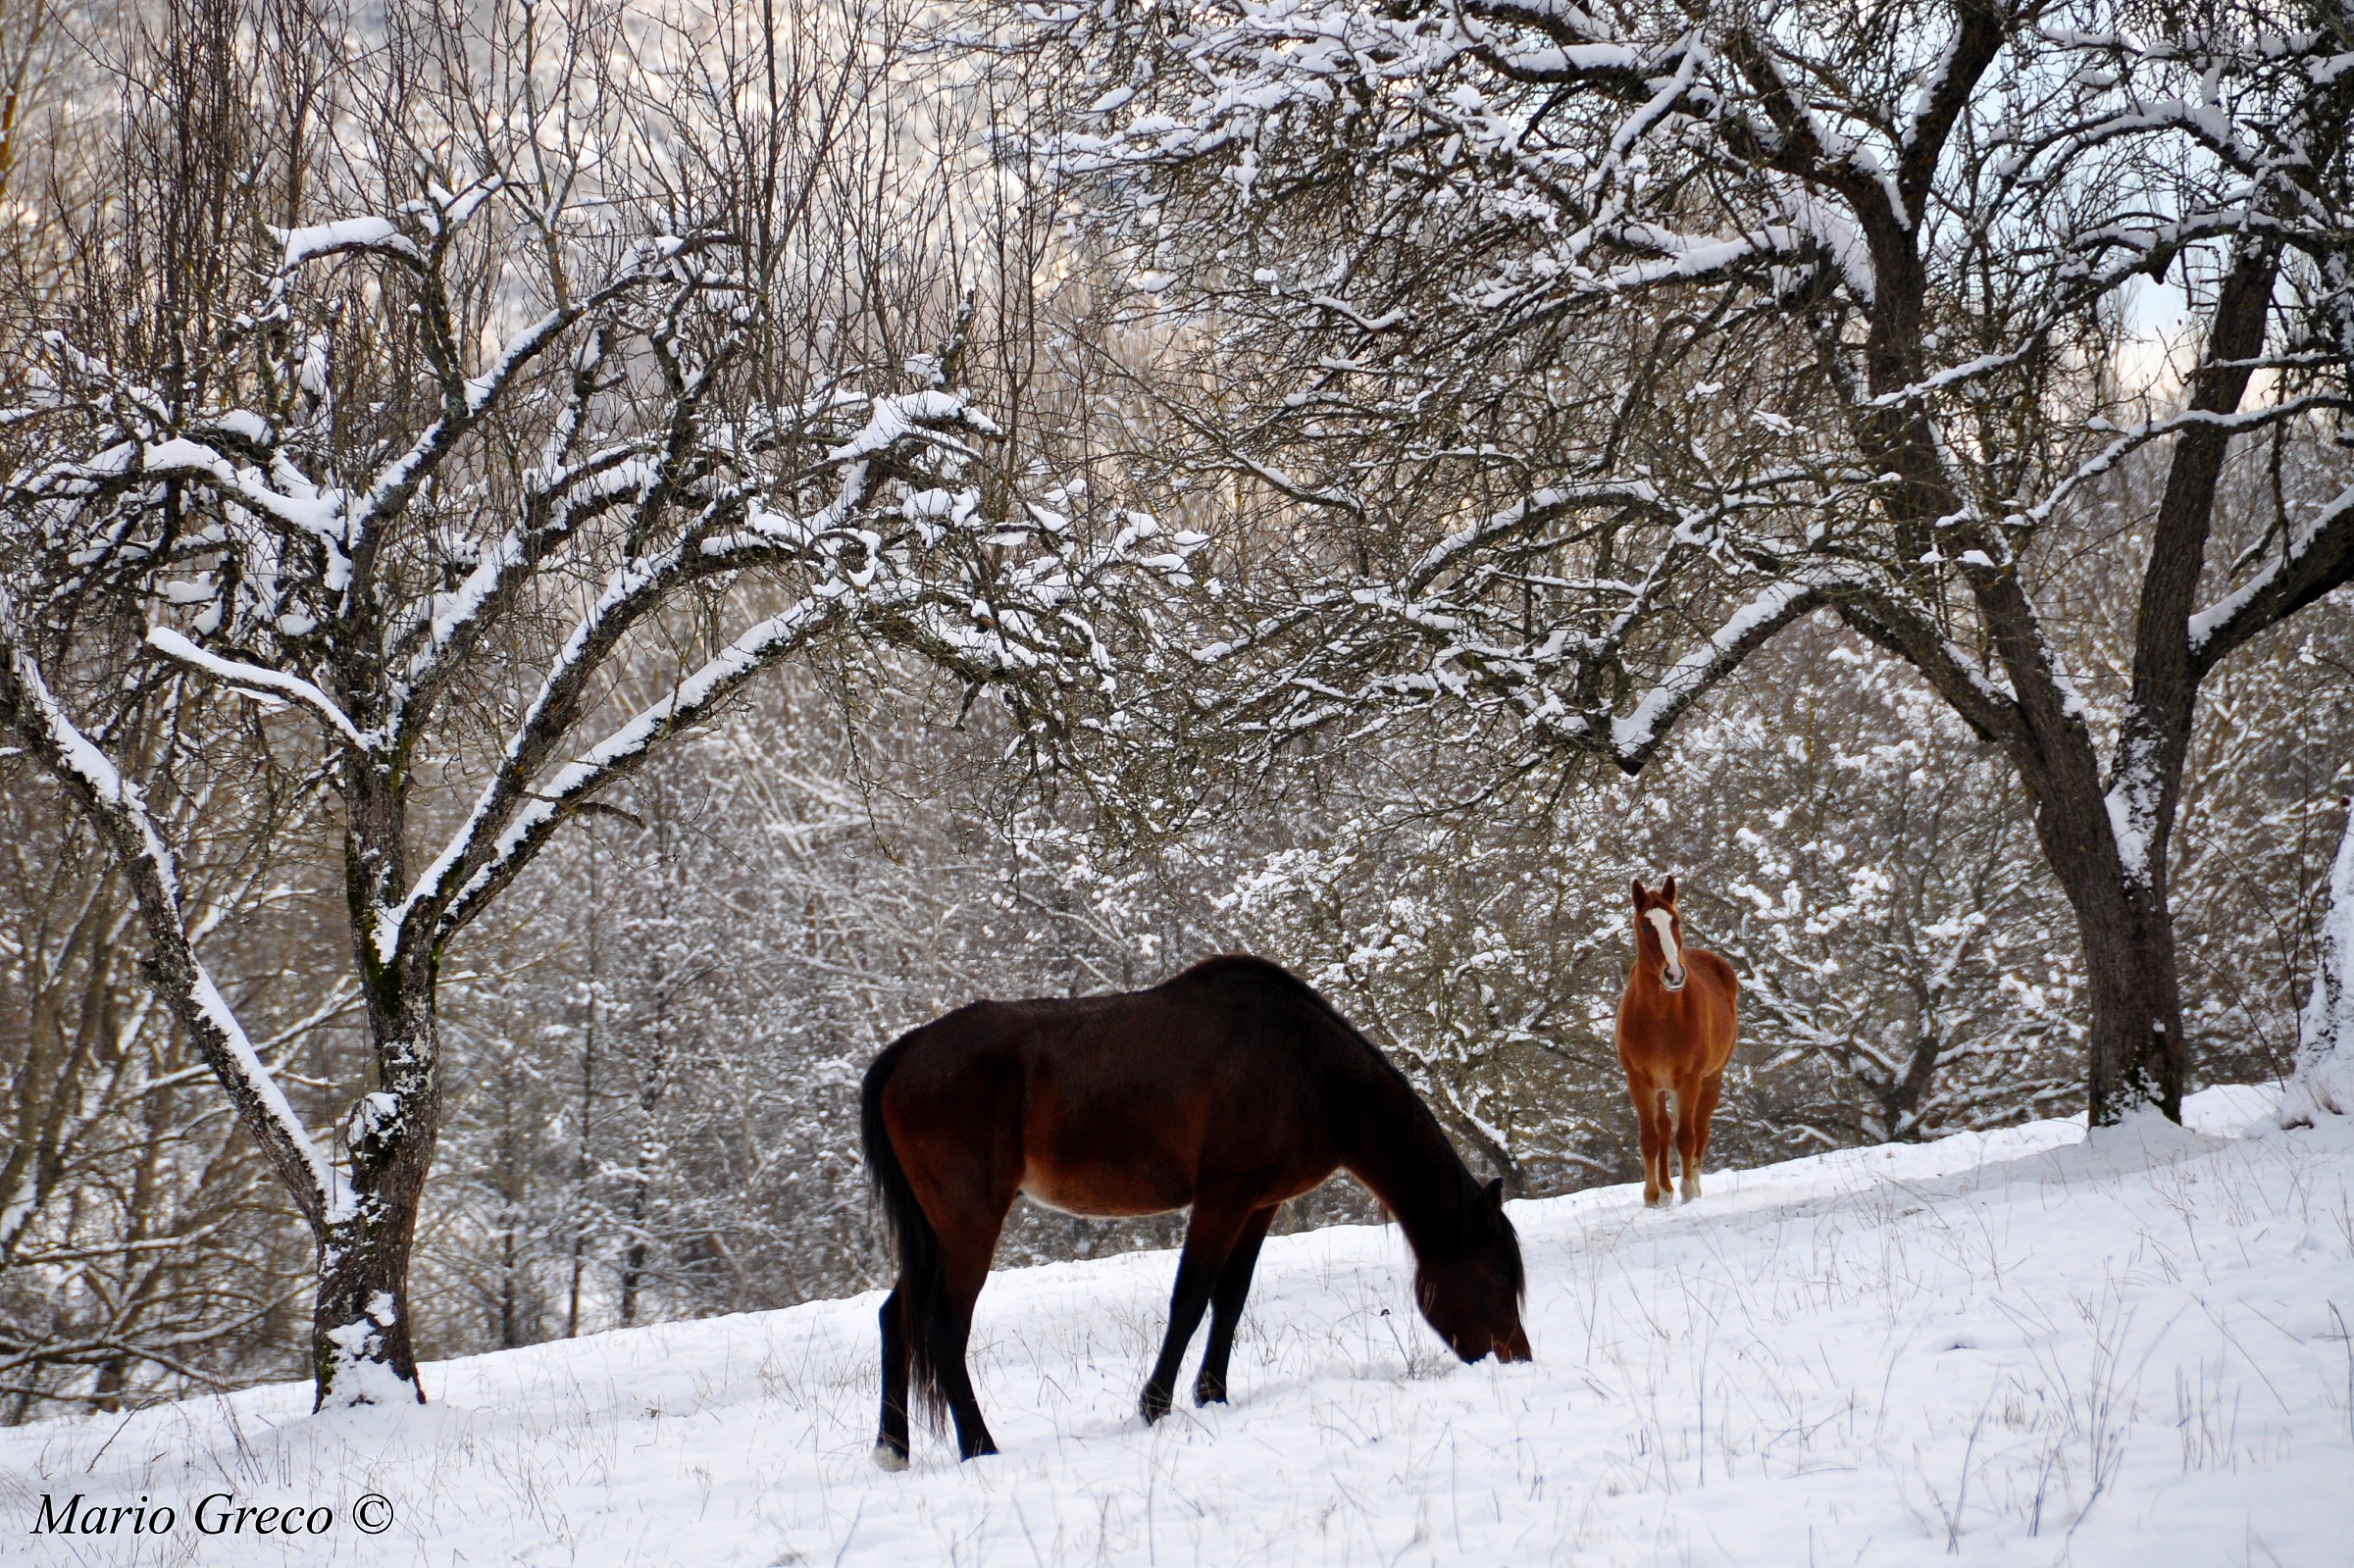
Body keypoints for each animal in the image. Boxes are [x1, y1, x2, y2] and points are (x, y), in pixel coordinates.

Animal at [860, 954, 1531, 1466]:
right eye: (1497, 1274)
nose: (1518, 1359)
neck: (1307, 1068)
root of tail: (906, 1053)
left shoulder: (1260, 1204)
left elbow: (1229, 1299)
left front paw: (1213, 1395)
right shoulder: (1222, 1197)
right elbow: (1190, 1299)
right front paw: (1155, 1406)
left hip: (935, 1230)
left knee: (898, 1318)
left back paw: (894, 1449)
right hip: (969, 1221)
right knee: (944, 1324)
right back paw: (980, 1447)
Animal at [1616, 877, 1738, 1207]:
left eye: (1676, 921)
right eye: (1645, 926)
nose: (1673, 974)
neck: (1660, 1018)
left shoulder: (1689, 1079)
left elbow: (1686, 1137)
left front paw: (1688, 1192)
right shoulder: (1638, 1080)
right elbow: (1650, 1138)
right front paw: (1652, 1196)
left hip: (1710, 1079)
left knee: (1699, 1129)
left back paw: (1692, 1184)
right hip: (1661, 1086)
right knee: (1664, 1129)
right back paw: (1666, 1189)